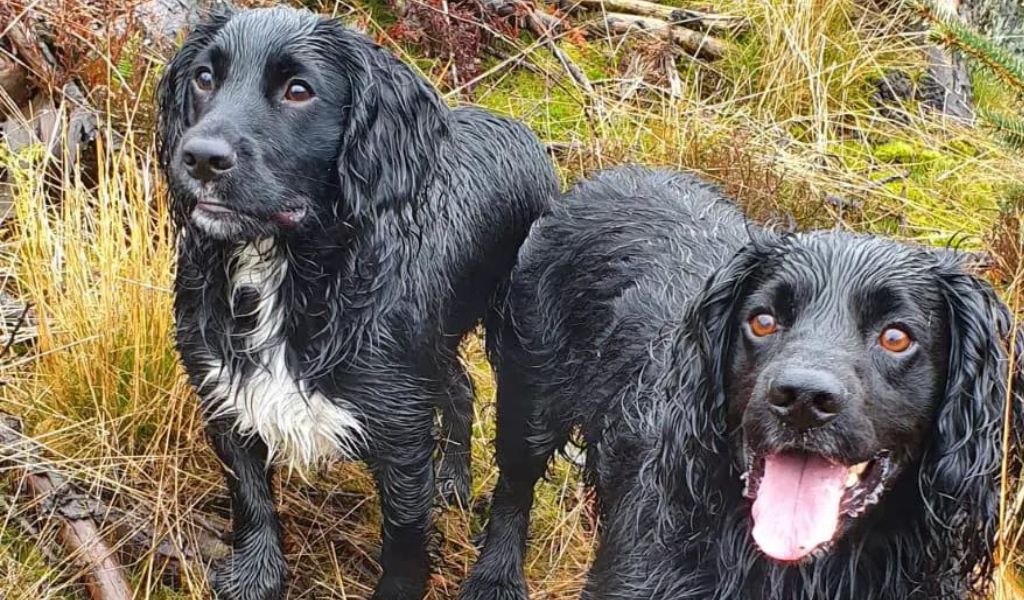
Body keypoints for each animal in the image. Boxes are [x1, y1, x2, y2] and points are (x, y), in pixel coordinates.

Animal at [155, 5, 557, 597]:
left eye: (299, 90)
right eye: (205, 78)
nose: (200, 158)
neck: (285, 269)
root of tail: (519, 128)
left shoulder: (401, 432)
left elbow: (405, 543)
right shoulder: (223, 390)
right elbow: (250, 497)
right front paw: (256, 576)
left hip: (520, 347)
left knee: (515, 478)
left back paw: (494, 566)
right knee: (460, 389)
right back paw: (454, 480)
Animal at [460, 165, 1019, 593]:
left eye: (897, 337)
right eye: (763, 320)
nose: (802, 399)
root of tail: (602, 179)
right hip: (530, 393)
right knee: (515, 485)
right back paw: (494, 580)